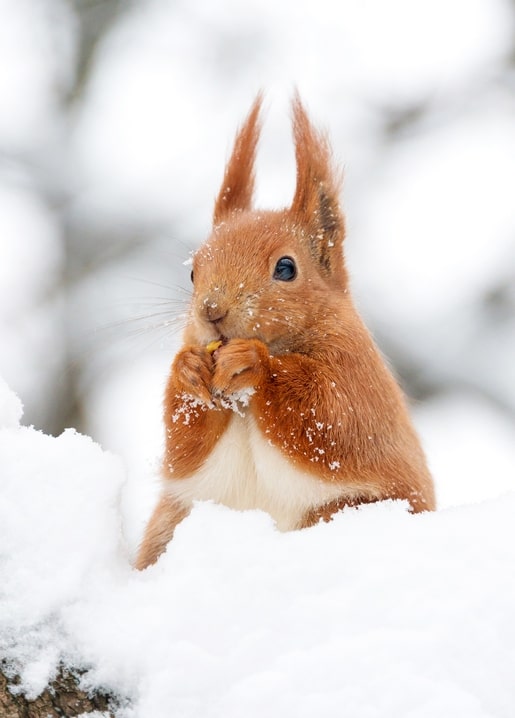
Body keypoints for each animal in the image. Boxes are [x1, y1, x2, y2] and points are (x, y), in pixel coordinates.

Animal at [135, 94, 435, 570]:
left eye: (286, 268)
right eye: (193, 270)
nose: (211, 311)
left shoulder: (356, 373)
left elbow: (330, 418)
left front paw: (254, 365)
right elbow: (185, 444)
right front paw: (188, 370)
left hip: (345, 509)